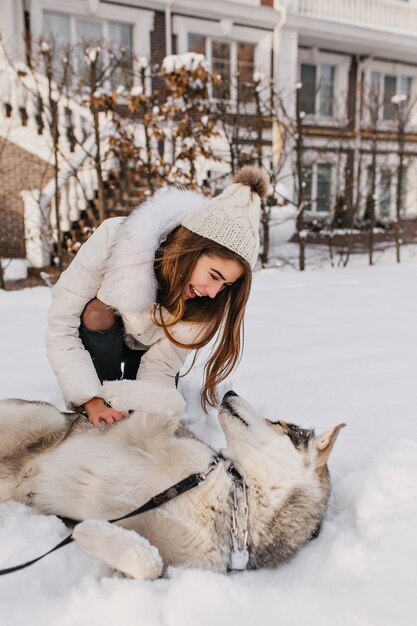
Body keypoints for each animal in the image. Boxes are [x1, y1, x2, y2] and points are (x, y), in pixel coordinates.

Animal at [0, 380, 342, 580]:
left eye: (279, 423)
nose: (231, 392)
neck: (233, 493)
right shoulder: (142, 432)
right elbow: (172, 400)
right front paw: (119, 390)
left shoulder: (163, 565)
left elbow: (148, 563)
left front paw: (91, 532)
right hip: (41, 420)